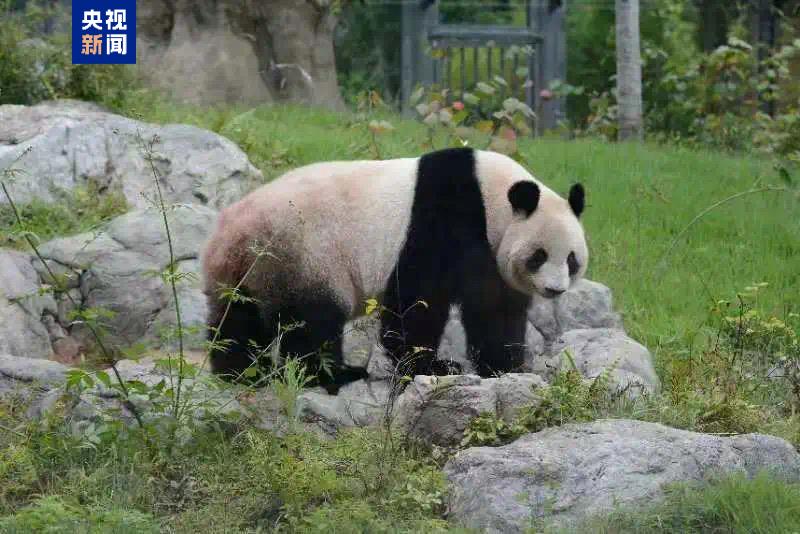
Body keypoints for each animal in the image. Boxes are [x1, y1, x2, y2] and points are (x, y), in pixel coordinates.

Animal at [200, 149, 588, 392]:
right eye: (539, 255)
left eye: (571, 259)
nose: (555, 289)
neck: (491, 195)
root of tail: (229, 235)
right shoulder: (447, 213)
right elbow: (419, 299)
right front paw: (432, 367)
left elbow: (498, 309)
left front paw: (506, 366)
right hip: (306, 253)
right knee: (312, 321)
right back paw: (334, 375)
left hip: (253, 270)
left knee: (238, 318)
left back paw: (242, 373)